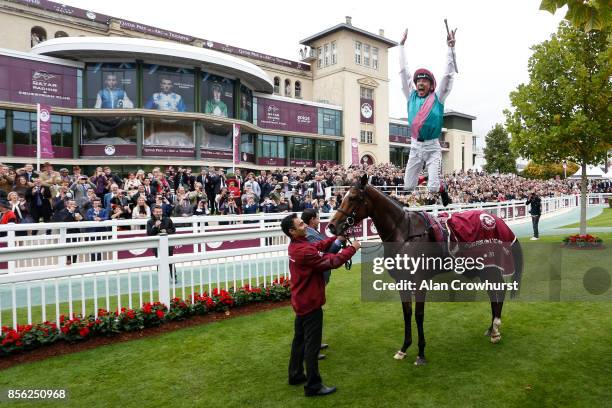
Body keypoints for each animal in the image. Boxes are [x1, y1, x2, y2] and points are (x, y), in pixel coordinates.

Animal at [328, 174, 524, 364]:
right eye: (342, 197)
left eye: (353, 198)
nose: (331, 226)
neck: (404, 234)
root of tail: (497, 220)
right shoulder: (402, 282)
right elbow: (407, 313)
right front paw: (404, 348)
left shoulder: (419, 282)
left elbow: (418, 314)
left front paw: (421, 353)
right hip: (484, 269)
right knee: (493, 293)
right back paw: (491, 328)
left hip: (491, 267)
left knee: (500, 290)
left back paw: (496, 330)